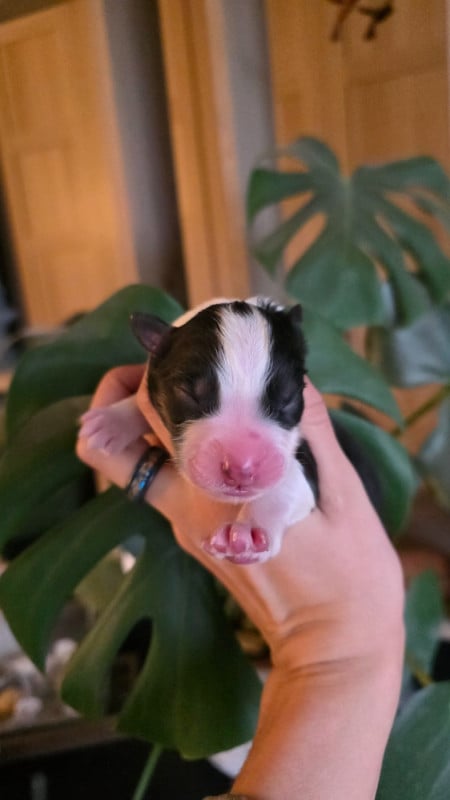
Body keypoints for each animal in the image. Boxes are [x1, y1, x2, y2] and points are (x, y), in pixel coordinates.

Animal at [79, 298, 319, 564]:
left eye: (288, 399)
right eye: (190, 394)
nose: (241, 470)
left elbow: (292, 479)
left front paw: (249, 531)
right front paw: (112, 420)